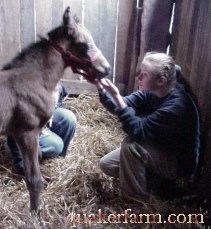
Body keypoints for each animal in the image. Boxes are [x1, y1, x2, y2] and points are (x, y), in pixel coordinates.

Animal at [0, 6, 111, 213]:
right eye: (83, 45)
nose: (106, 69)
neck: (35, 79)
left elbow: (39, 159)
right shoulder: (25, 133)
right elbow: (34, 179)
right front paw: (35, 214)